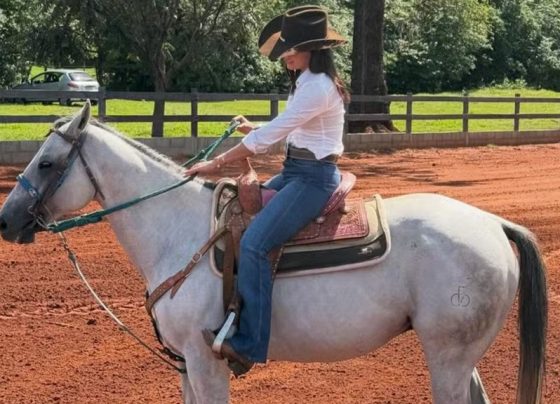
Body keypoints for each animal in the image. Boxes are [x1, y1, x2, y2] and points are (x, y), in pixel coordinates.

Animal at [0, 102, 547, 404]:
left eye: (47, 162)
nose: (6, 220)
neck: (177, 230)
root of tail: (494, 223)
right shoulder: (186, 367)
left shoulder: (205, 361)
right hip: (459, 357)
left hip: (447, 356)